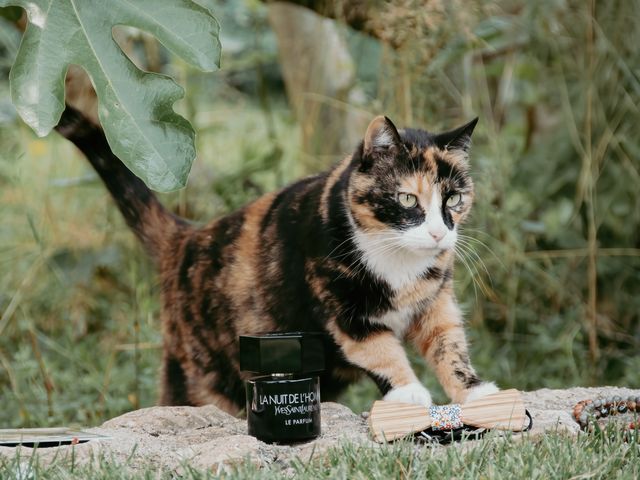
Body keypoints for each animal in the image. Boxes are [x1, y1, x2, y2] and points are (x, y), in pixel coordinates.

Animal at [55, 107, 498, 414]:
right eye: (407, 199)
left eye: (453, 199)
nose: (439, 233)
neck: (398, 264)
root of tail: (186, 238)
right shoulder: (343, 313)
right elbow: (378, 349)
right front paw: (409, 393)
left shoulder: (435, 302)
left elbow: (449, 345)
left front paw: (476, 389)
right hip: (202, 378)